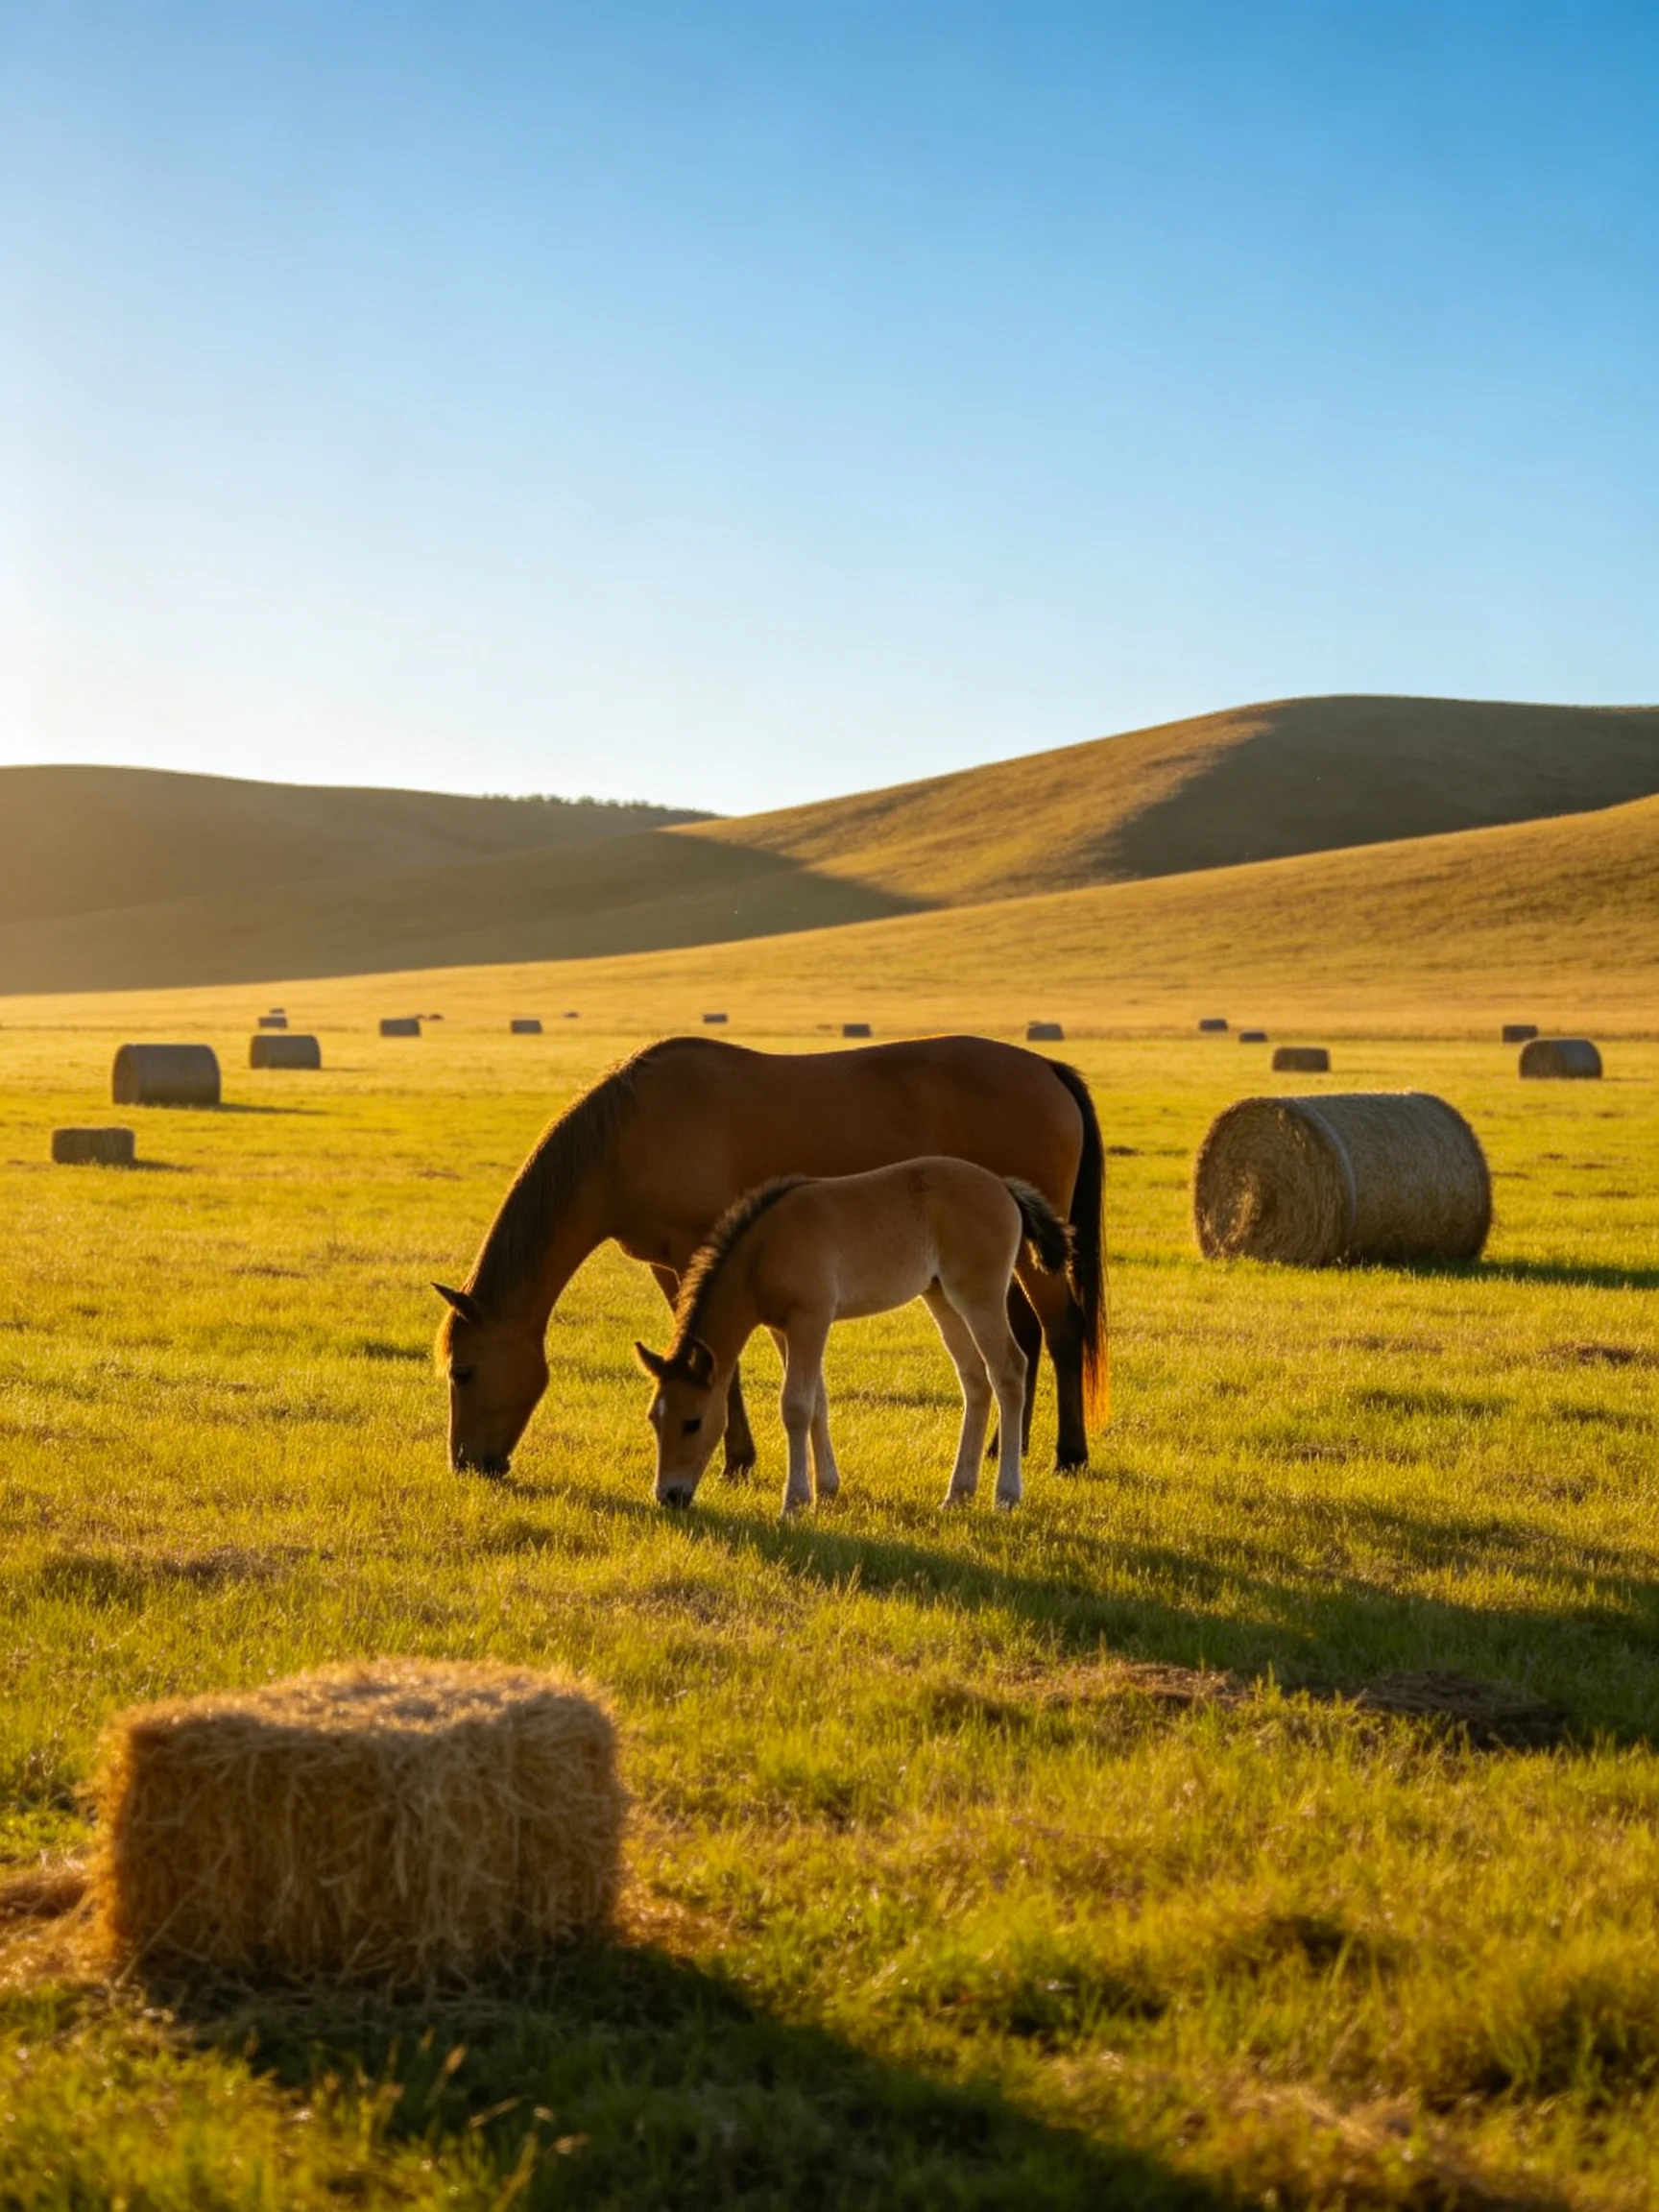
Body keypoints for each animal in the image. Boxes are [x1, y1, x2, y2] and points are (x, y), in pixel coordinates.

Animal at [433, 1033, 1106, 1479]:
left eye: (463, 1372)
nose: (467, 1465)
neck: (630, 1134)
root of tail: (1045, 1068)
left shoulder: (698, 1252)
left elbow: (716, 1362)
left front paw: (735, 1459)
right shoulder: (666, 1263)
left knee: (1062, 1330)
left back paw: (1068, 1455)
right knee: (1024, 1337)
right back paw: (1004, 1448)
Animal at [635, 1160, 1075, 1514]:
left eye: (692, 1422)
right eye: (654, 1418)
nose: (668, 1496)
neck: (765, 1248)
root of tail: (1003, 1186)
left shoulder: (811, 1319)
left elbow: (796, 1406)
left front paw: (795, 1502)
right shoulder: (784, 1328)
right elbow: (817, 1401)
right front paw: (827, 1489)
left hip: (979, 1297)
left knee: (1009, 1372)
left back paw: (1006, 1495)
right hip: (942, 1298)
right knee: (975, 1380)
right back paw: (958, 1493)